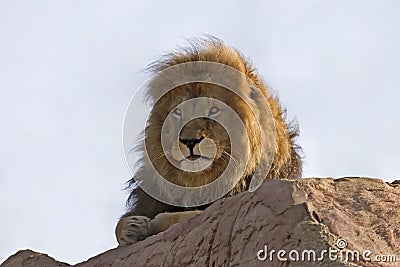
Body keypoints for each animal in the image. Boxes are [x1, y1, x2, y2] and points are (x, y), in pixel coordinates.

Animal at [114, 37, 302, 247]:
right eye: (177, 112)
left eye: (214, 110)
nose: (190, 141)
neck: (198, 183)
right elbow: (118, 227)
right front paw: (129, 226)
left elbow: (174, 218)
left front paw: (144, 225)